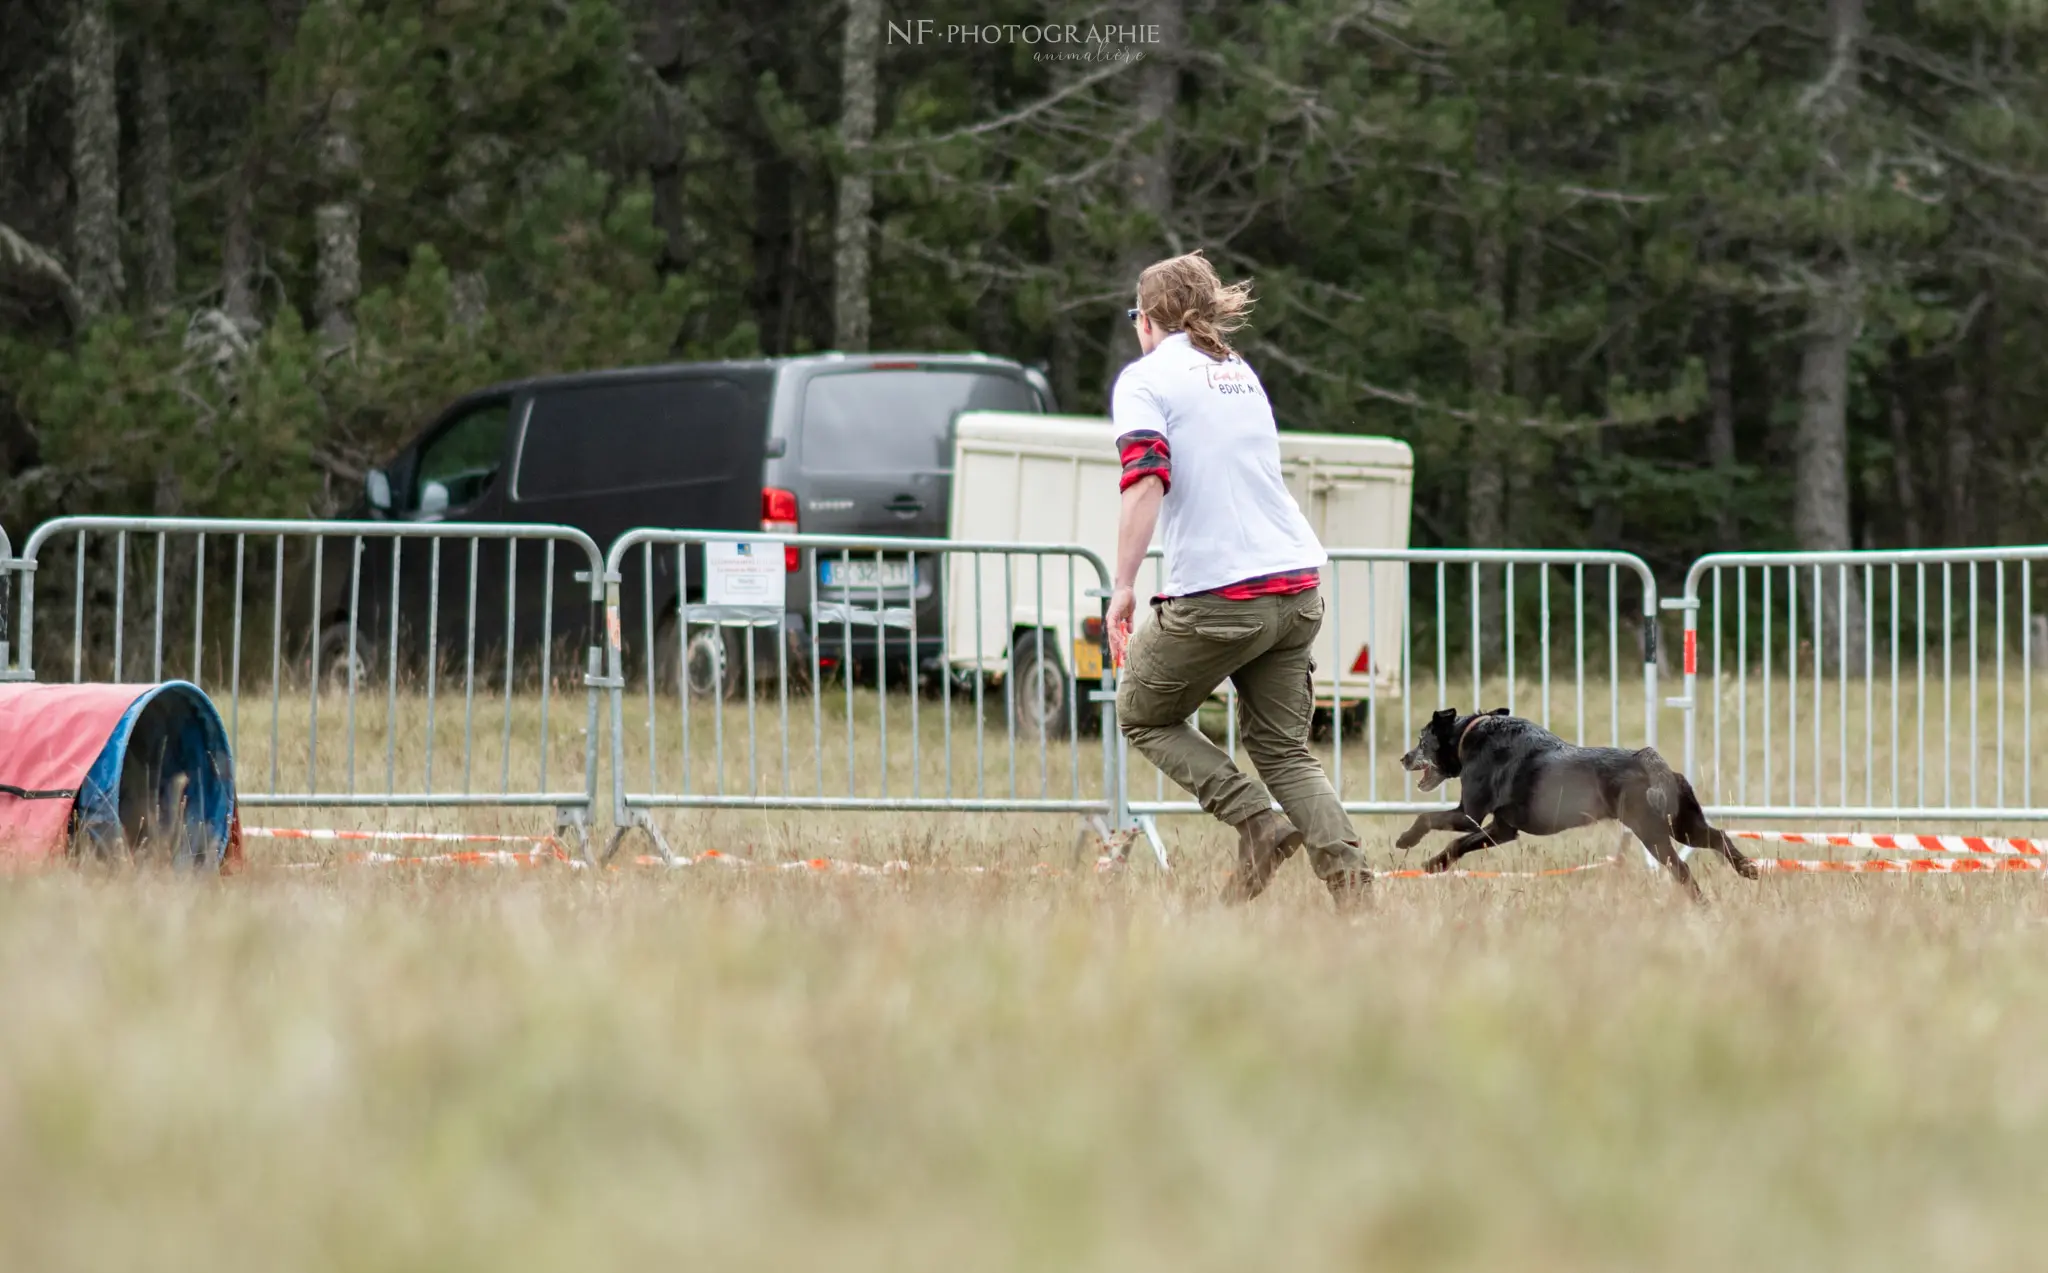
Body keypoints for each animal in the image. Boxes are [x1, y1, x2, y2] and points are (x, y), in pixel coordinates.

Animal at [1392, 708, 1761, 908]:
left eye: (1422, 740)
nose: (1403, 758)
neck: (1470, 735)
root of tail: (1649, 758)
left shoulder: (1470, 814)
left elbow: (1430, 821)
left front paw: (1411, 845)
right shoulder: (1502, 829)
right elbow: (1458, 842)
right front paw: (1434, 863)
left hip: (1653, 832)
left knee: (1682, 869)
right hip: (1682, 824)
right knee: (1718, 837)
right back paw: (1746, 870)